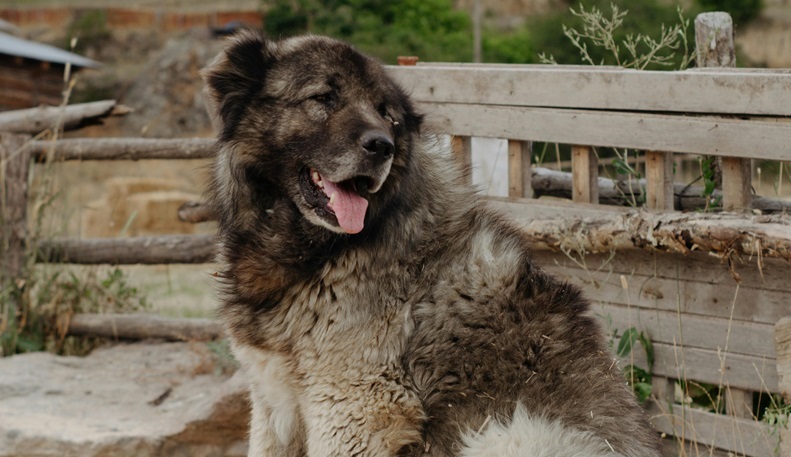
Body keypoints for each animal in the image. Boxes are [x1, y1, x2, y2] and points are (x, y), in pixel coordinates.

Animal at [204, 32, 664, 456]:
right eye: (324, 97)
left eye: (386, 114)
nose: (382, 146)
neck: (324, 257)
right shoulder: (274, 403)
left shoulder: (355, 408)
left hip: (507, 432)